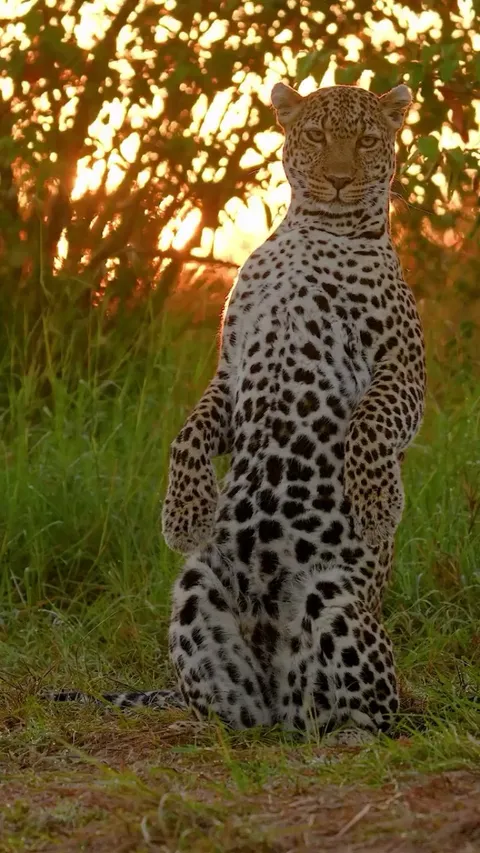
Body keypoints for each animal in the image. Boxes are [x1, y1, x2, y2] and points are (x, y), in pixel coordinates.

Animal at [47, 82, 426, 738]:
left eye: (367, 140)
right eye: (317, 136)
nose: (338, 180)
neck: (313, 234)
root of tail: (281, 693)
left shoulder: (403, 364)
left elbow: (371, 424)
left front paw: (379, 505)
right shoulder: (230, 367)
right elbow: (188, 433)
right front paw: (183, 513)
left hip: (335, 604)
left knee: (372, 708)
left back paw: (350, 735)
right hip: (197, 592)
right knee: (241, 711)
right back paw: (205, 728)